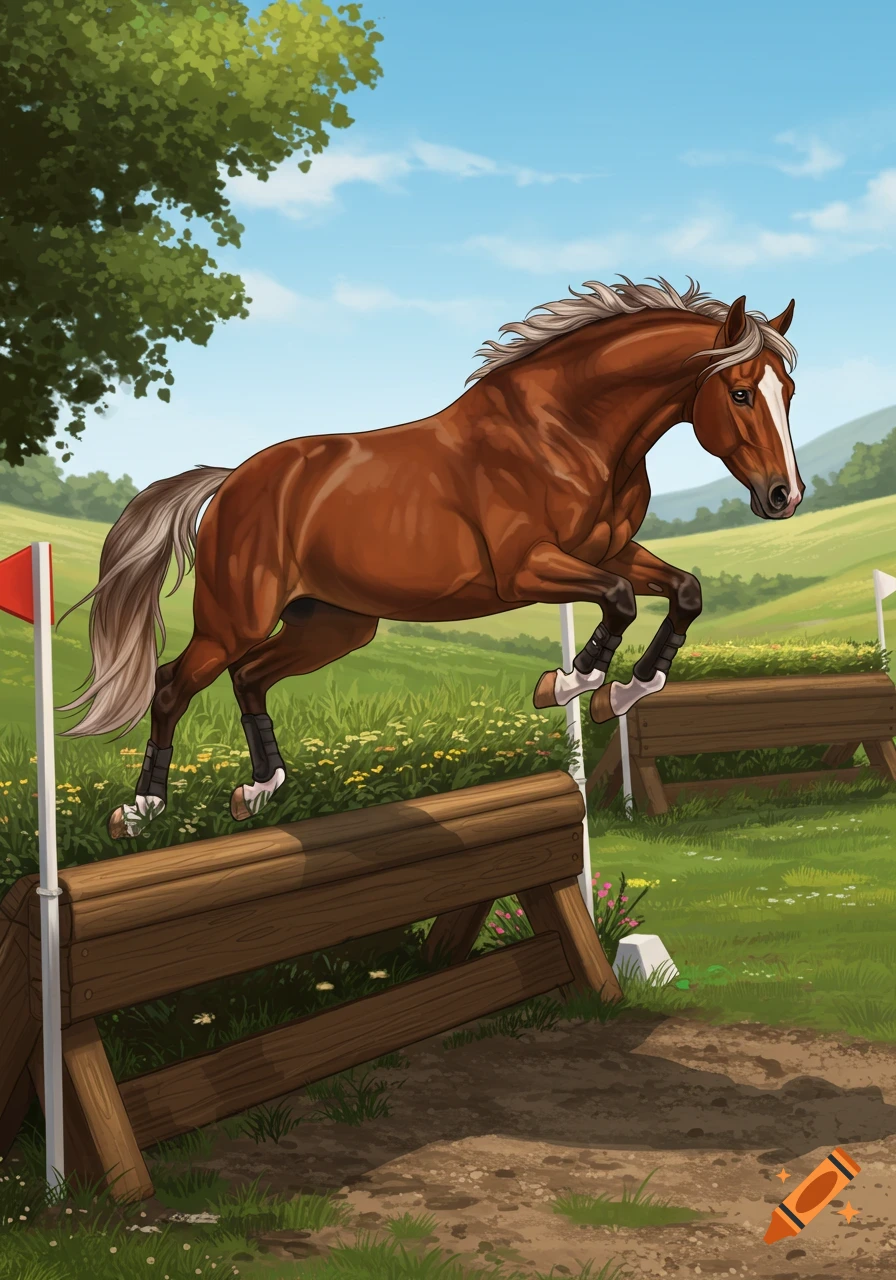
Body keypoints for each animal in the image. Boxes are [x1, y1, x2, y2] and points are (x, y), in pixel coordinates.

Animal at [58, 276, 802, 840]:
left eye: (787, 393)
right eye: (740, 392)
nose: (784, 496)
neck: (568, 431)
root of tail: (233, 479)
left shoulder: (611, 549)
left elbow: (685, 590)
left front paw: (624, 691)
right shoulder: (528, 567)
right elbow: (618, 600)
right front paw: (570, 684)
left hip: (334, 623)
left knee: (250, 677)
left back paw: (261, 788)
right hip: (235, 618)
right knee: (173, 685)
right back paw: (141, 809)